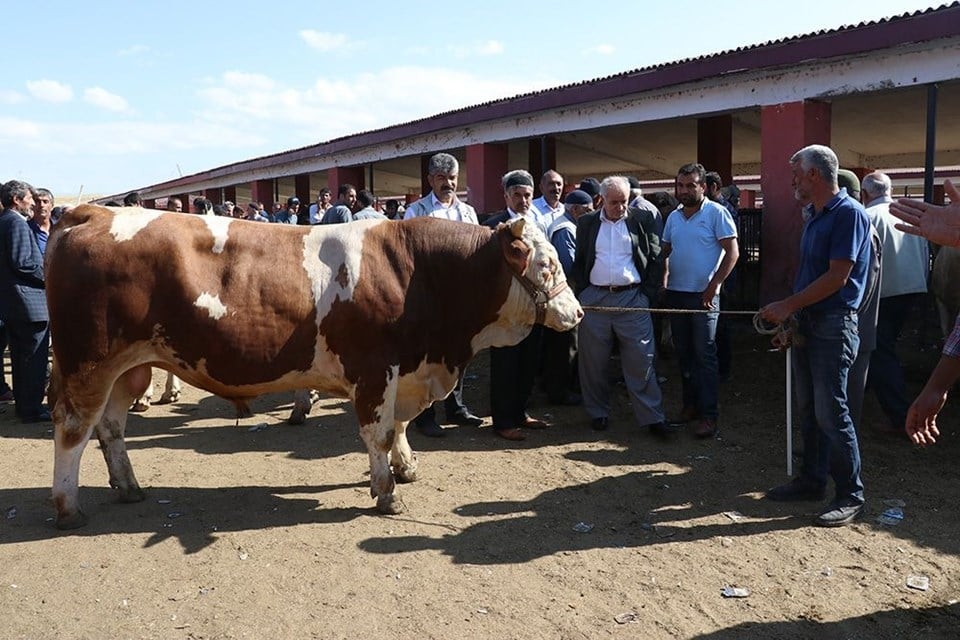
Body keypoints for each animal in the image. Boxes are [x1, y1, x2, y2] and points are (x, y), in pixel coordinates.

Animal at [45, 206, 580, 528]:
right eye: (547, 264)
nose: (576, 313)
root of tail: (93, 211)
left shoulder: (405, 373)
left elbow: (400, 427)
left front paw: (405, 467)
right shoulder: (375, 370)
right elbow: (378, 434)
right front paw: (386, 493)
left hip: (127, 369)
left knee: (111, 427)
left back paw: (128, 488)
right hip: (87, 364)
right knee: (72, 430)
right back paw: (68, 507)